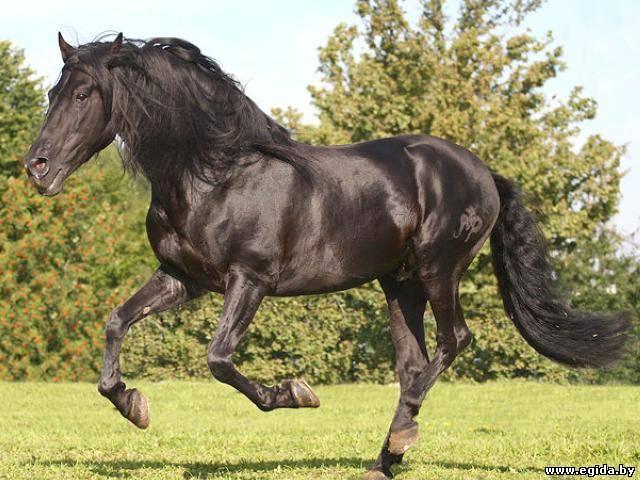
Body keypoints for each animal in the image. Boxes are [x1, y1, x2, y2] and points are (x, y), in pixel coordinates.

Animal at [25, 33, 628, 479]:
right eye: (53, 93)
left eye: (84, 95)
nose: (37, 167)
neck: (215, 173)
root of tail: (483, 173)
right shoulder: (182, 278)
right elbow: (116, 323)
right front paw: (134, 405)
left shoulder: (249, 280)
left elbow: (219, 359)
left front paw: (296, 393)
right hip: (399, 284)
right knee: (413, 365)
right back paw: (386, 457)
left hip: (439, 269)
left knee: (453, 341)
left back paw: (400, 438)